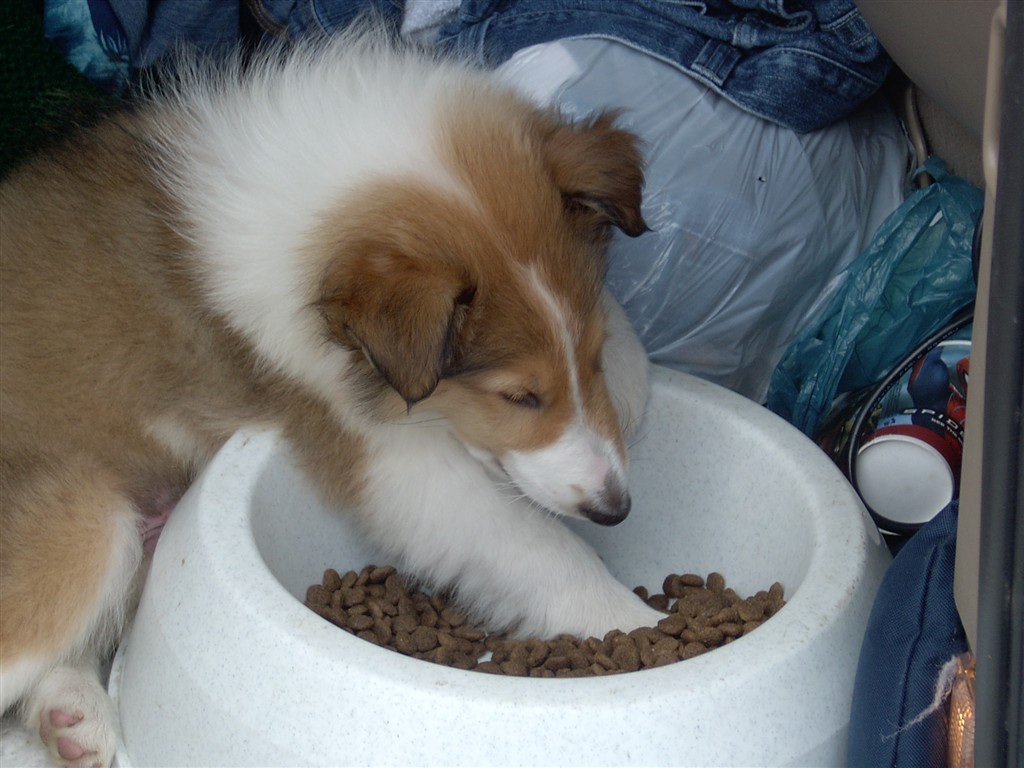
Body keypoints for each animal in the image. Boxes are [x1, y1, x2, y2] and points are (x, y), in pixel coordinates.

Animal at [0, 27, 662, 767]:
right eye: (517, 396)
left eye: (591, 354)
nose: (614, 509)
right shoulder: (375, 449)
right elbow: (537, 547)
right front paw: (643, 633)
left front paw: (630, 382)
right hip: (85, 517)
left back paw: (74, 718)